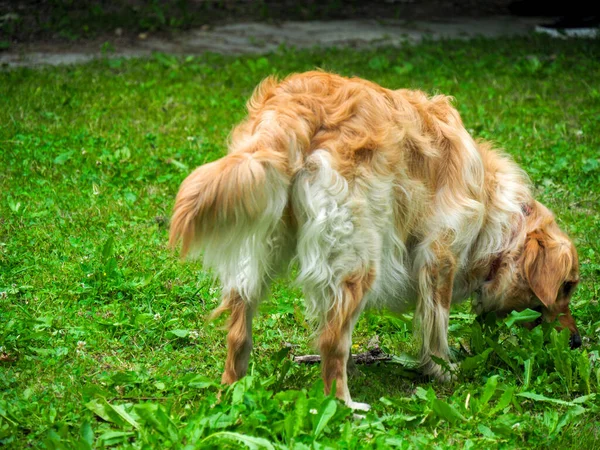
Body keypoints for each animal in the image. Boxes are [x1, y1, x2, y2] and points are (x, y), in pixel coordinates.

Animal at [169, 71, 580, 412]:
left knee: (240, 328)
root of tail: (296, 103)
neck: (495, 206)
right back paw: (344, 407)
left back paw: (233, 391)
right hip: (359, 256)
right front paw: (443, 369)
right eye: (567, 287)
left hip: (260, 248)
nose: (577, 343)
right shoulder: (440, 255)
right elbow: (436, 323)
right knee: (332, 341)